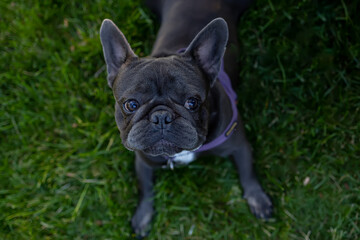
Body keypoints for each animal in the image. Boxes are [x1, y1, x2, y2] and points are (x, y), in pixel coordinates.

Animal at [100, 0, 272, 236]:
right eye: (131, 104)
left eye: (192, 102)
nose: (161, 117)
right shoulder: (144, 161)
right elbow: (145, 189)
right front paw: (143, 216)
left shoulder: (238, 145)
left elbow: (248, 173)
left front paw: (258, 199)